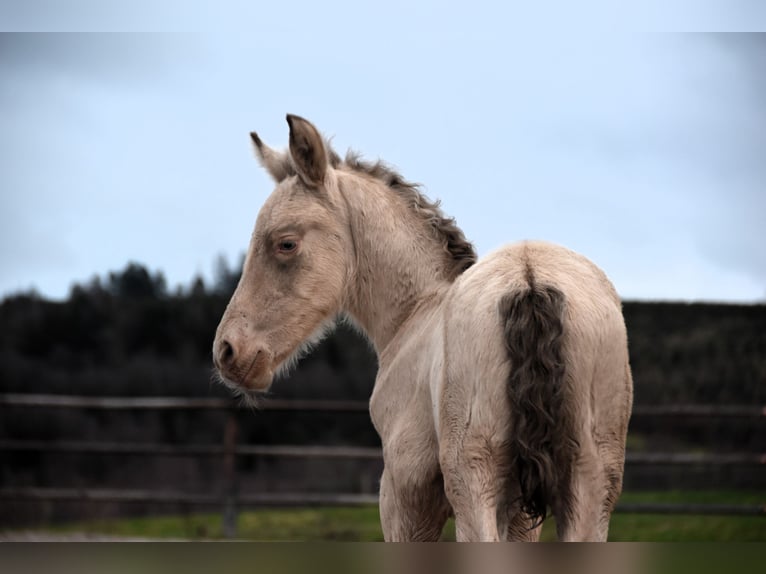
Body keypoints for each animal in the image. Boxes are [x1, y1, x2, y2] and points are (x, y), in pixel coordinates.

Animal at [213, 115, 632, 544]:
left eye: (285, 243)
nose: (228, 351)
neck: (414, 314)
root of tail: (528, 276)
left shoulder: (404, 494)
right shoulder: (519, 520)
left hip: (473, 479)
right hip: (589, 479)